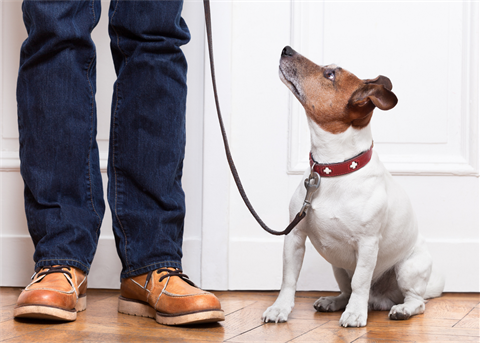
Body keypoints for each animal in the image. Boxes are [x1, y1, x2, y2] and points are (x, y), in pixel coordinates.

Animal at [262, 45, 446, 328]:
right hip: (338, 268)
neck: (333, 169)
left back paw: (399, 309)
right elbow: (288, 279)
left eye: (329, 75)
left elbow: (361, 281)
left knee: (416, 301)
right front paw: (280, 308)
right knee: (347, 289)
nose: (286, 49)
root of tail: (381, 299)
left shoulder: (368, 244)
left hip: (408, 269)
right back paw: (334, 301)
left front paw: (356, 313)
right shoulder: (295, 237)